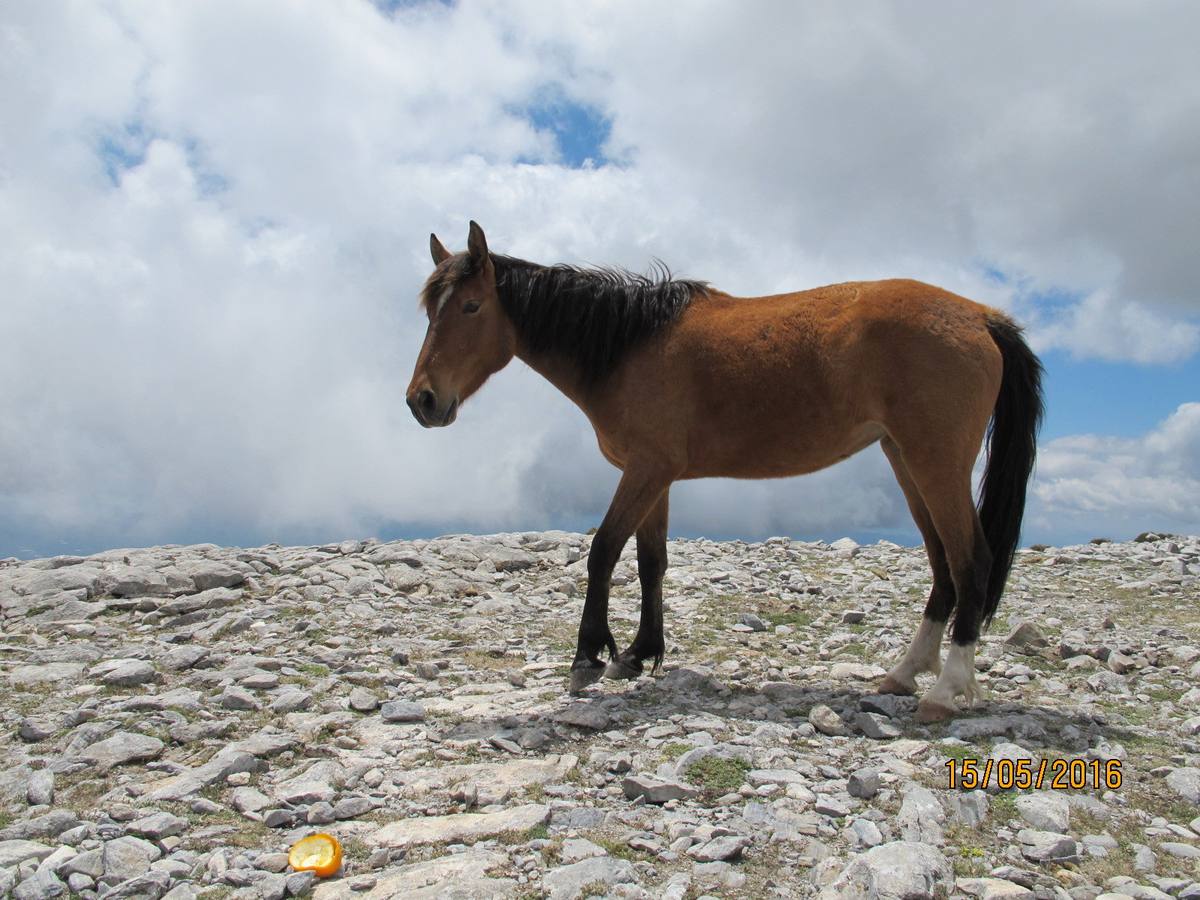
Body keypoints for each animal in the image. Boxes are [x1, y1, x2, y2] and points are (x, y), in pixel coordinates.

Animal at [405, 225, 1041, 724]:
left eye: (470, 307)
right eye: (430, 310)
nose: (422, 401)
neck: (628, 345)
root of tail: (981, 317)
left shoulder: (646, 469)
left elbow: (604, 550)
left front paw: (588, 657)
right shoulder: (656, 477)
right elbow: (651, 562)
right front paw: (638, 654)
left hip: (936, 463)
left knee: (971, 561)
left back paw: (945, 689)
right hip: (906, 461)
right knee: (942, 566)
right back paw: (905, 674)